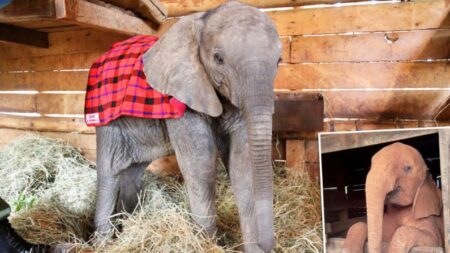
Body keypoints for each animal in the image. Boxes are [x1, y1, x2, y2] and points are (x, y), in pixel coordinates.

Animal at [92, 1, 282, 251]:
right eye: (218, 59)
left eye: (279, 61)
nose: (266, 244)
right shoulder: (182, 98)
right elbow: (200, 164)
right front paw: (208, 245)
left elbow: (242, 164)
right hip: (105, 116)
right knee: (109, 173)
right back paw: (103, 243)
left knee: (133, 172)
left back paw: (127, 227)